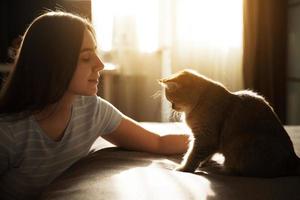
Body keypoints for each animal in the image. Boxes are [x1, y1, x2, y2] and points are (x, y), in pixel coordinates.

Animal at [159, 69, 300, 177]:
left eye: (171, 99)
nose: (172, 107)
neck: (200, 100)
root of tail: (293, 160)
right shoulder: (205, 139)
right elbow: (204, 154)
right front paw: (204, 163)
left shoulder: (205, 137)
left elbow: (192, 155)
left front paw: (184, 168)